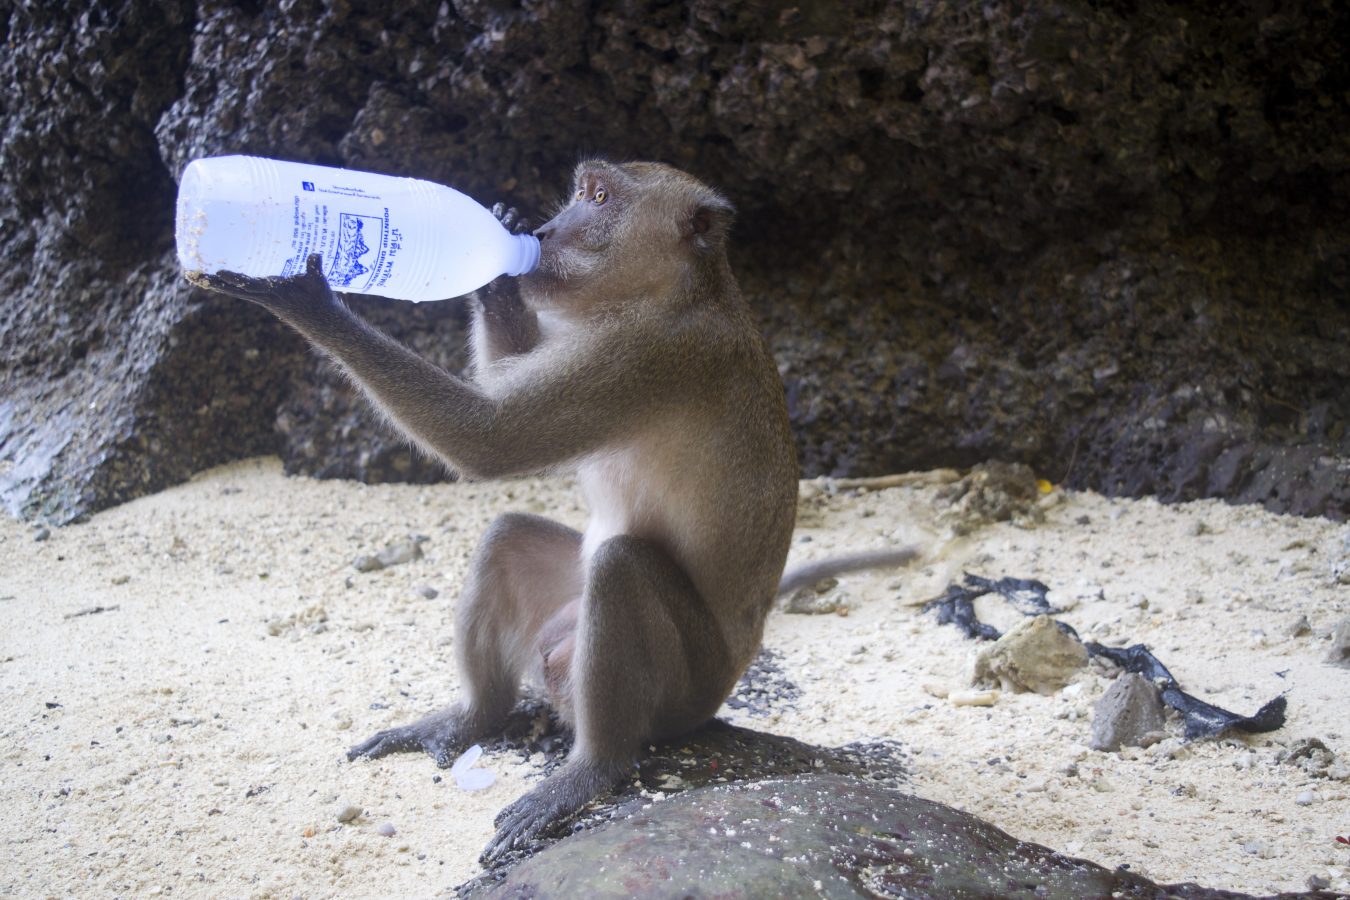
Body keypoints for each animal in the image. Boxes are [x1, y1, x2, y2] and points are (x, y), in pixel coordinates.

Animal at [197, 159, 918, 858]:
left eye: (598, 197)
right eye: (578, 192)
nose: (543, 233)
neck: (676, 290)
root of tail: (737, 665)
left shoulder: (644, 354)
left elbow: (491, 440)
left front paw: (303, 297)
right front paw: (497, 275)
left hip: (686, 688)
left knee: (621, 567)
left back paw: (591, 769)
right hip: (563, 619)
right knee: (508, 537)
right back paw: (475, 716)